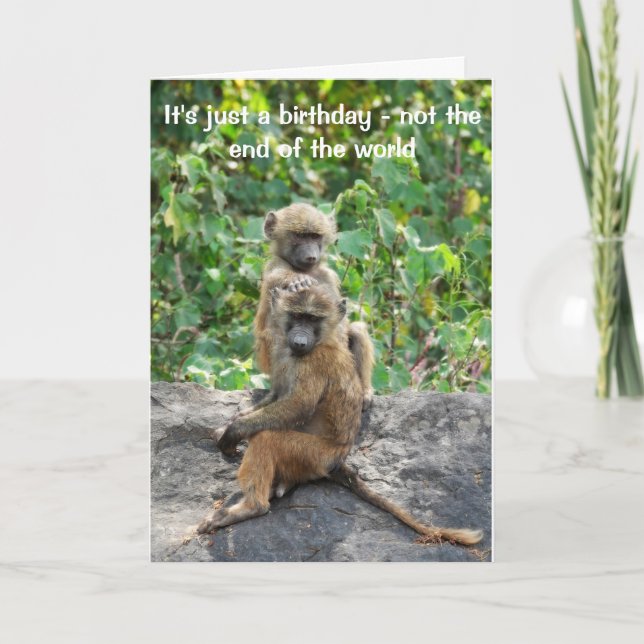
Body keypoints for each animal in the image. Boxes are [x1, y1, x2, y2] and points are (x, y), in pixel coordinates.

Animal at [197, 285, 483, 547]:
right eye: (297, 316)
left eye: (312, 319)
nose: (299, 340)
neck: (320, 343)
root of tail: (339, 459)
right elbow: (277, 395)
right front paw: (226, 426)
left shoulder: (314, 362)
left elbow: (297, 405)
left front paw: (234, 431)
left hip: (314, 455)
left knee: (267, 439)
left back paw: (252, 506)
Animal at [253, 202, 375, 410]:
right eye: (300, 236)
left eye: (315, 236)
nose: (311, 256)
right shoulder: (275, 268)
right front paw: (298, 281)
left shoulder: (328, 275)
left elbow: (340, 319)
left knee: (357, 330)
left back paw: (364, 390)